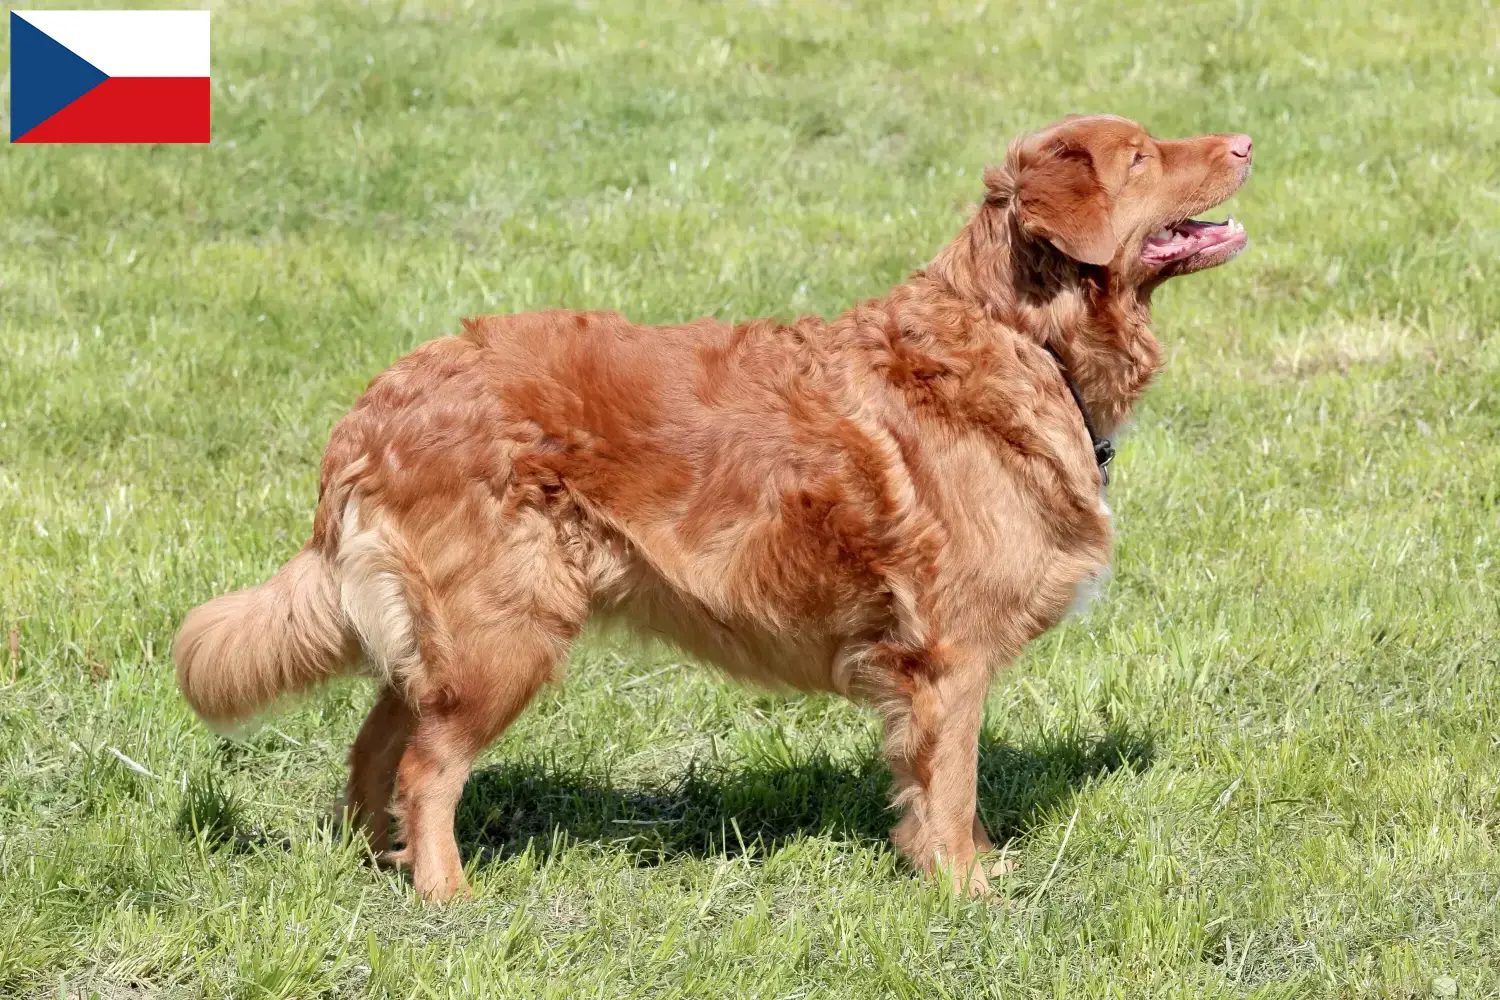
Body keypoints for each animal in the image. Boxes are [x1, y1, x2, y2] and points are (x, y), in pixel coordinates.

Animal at [175, 115, 1254, 899]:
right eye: (1143, 155)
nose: (1245, 143)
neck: (1021, 335)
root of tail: (374, 406)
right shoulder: (947, 659)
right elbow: (950, 787)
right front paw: (963, 891)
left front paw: (974, 866)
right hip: (506, 629)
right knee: (424, 769)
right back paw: (446, 896)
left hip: (445, 633)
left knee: (374, 747)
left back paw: (379, 867)